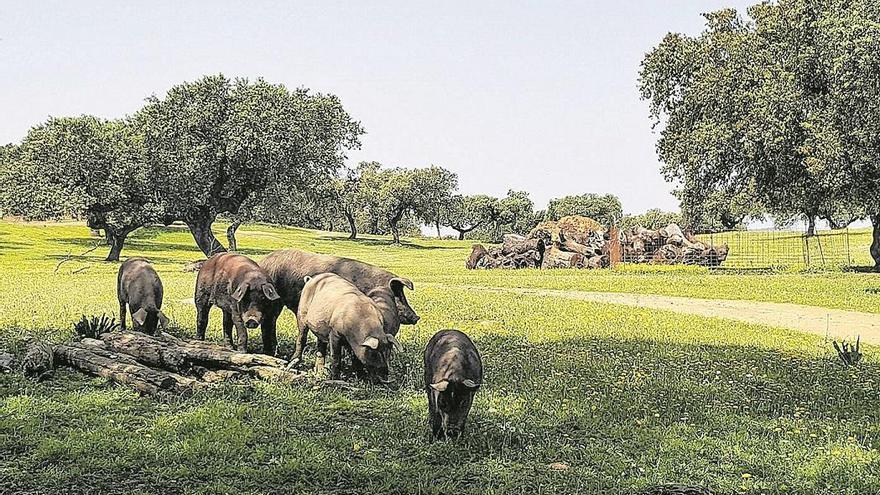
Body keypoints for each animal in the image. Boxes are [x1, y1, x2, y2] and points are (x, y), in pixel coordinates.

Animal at [258, 250, 420, 362]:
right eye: (398, 295)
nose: (416, 317)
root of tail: (263, 261)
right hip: (274, 302)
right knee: (268, 324)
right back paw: (271, 353)